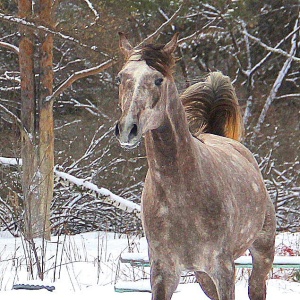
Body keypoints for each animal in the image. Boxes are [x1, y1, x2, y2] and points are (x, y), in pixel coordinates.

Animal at [115, 32, 276, 300]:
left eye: (158, 79)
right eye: (121, 77)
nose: (128, 129)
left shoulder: (223, 268)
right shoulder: (163, 272)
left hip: (262, 250)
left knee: (257, 287)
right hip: (202, 275)